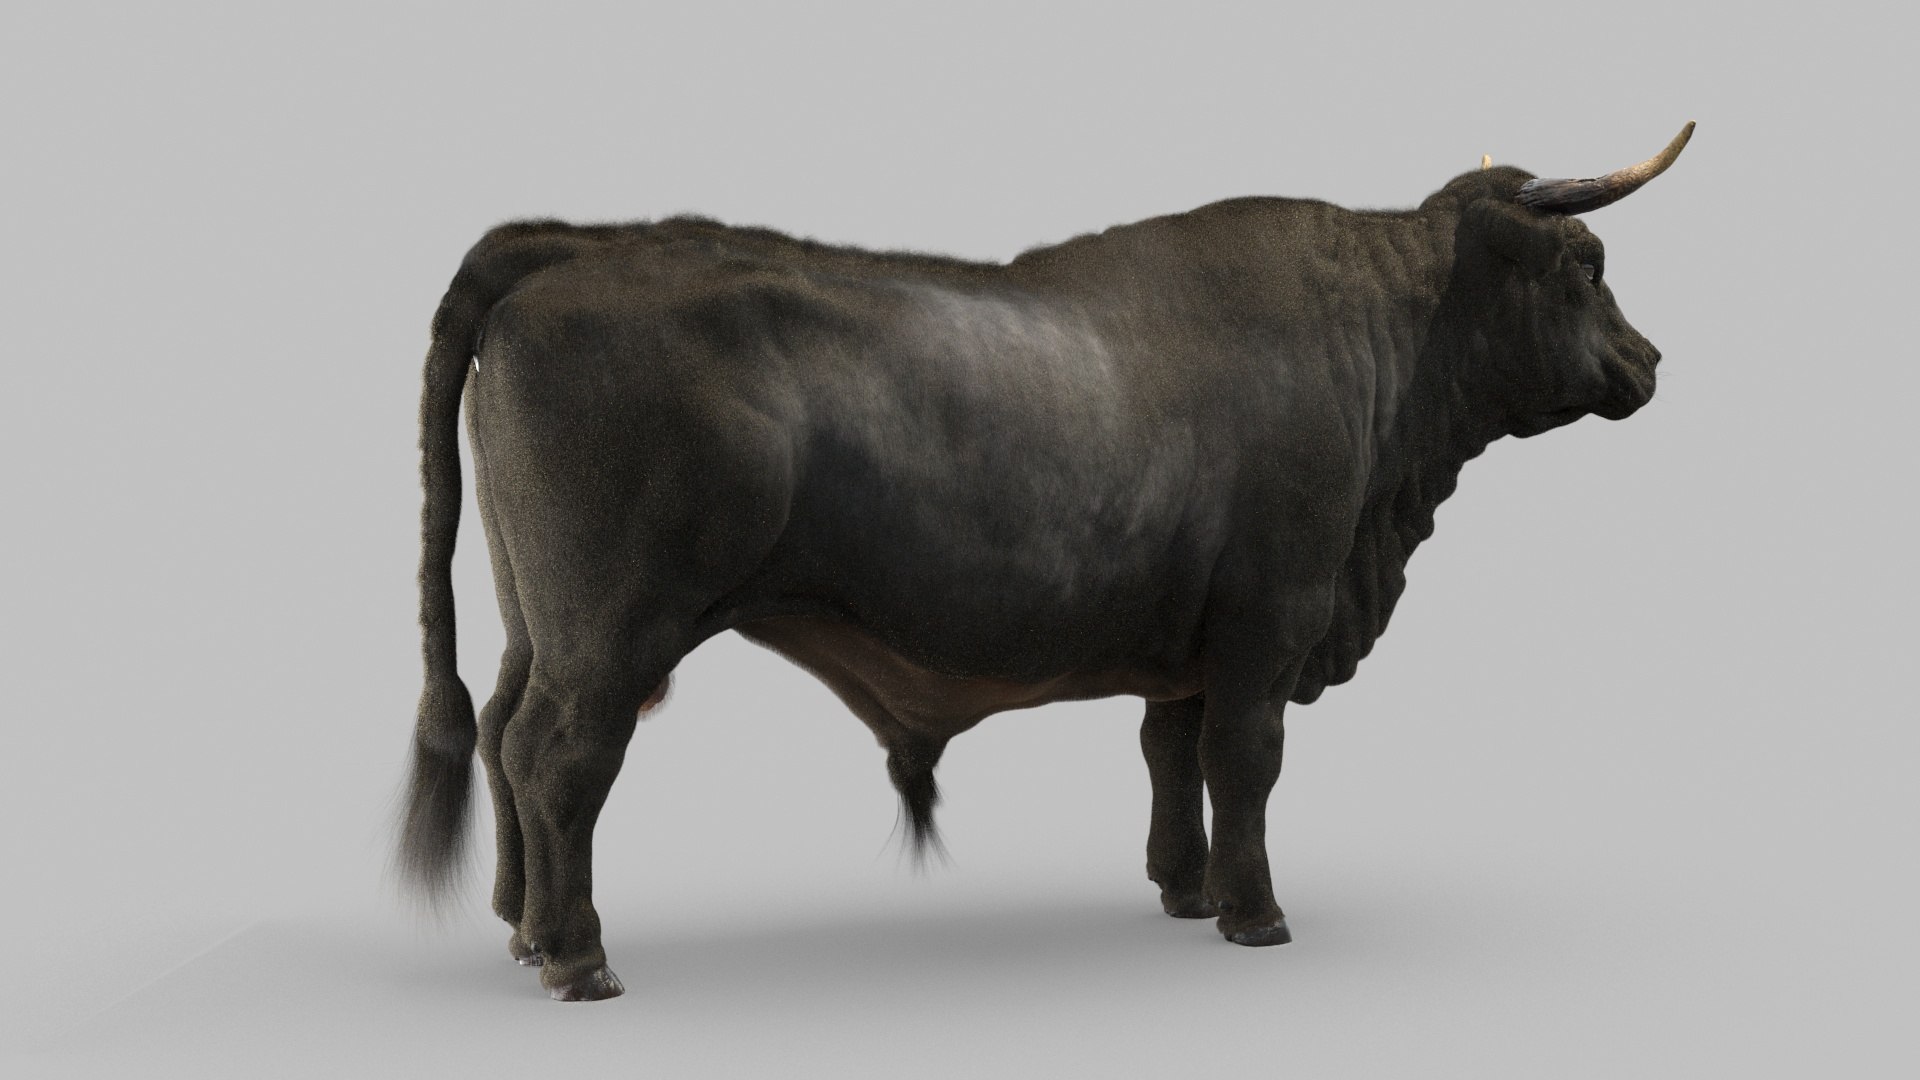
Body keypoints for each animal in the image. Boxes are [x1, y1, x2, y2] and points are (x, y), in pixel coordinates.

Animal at [399, 124, 1694, 1001]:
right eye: (1585, 262)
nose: (1651, 362)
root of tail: (563, 252)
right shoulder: (1270, 621)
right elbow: (1246, 763)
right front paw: (1257, 915)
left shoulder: (1191, 642)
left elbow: (1171, 753)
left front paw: (1185, 890)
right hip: (612, 633)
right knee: (560, 757)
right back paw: (579, 957)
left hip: (534, 621)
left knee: (505, 736)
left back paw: (524, 927)